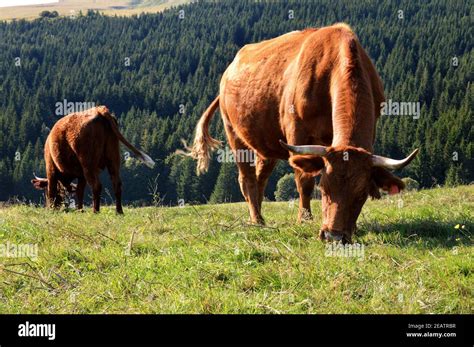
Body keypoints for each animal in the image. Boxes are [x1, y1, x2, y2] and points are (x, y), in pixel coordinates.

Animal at [189, 23, 418, 245]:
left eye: (362, 193)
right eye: (324, 187)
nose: (333, 236)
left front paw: (353, 227)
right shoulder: (297, 135)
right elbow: (304, 182)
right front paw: (304, 219)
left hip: (266, 145)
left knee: (260, 178)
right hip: (234, 134)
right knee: (247, 179)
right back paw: (257, 220)